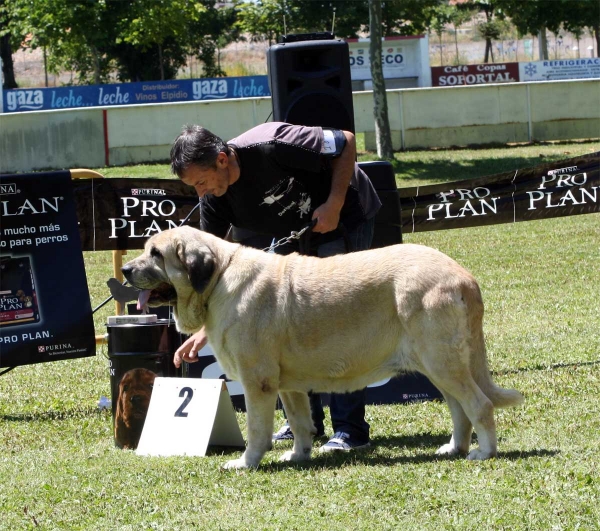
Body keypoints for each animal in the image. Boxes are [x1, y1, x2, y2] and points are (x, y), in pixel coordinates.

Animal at [120, 225, 520, 470]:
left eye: (156, 254)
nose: (124, 270)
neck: (218, 279)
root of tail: (464, 277)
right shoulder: (287, 385)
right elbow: (300, 422)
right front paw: (298, 455)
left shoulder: (257, 382)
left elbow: (256, 428)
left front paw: (247, 462)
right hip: (439, 365)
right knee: (459, 409)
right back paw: (454, 448)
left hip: (442, 361)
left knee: (478, 405)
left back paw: (484, 452)